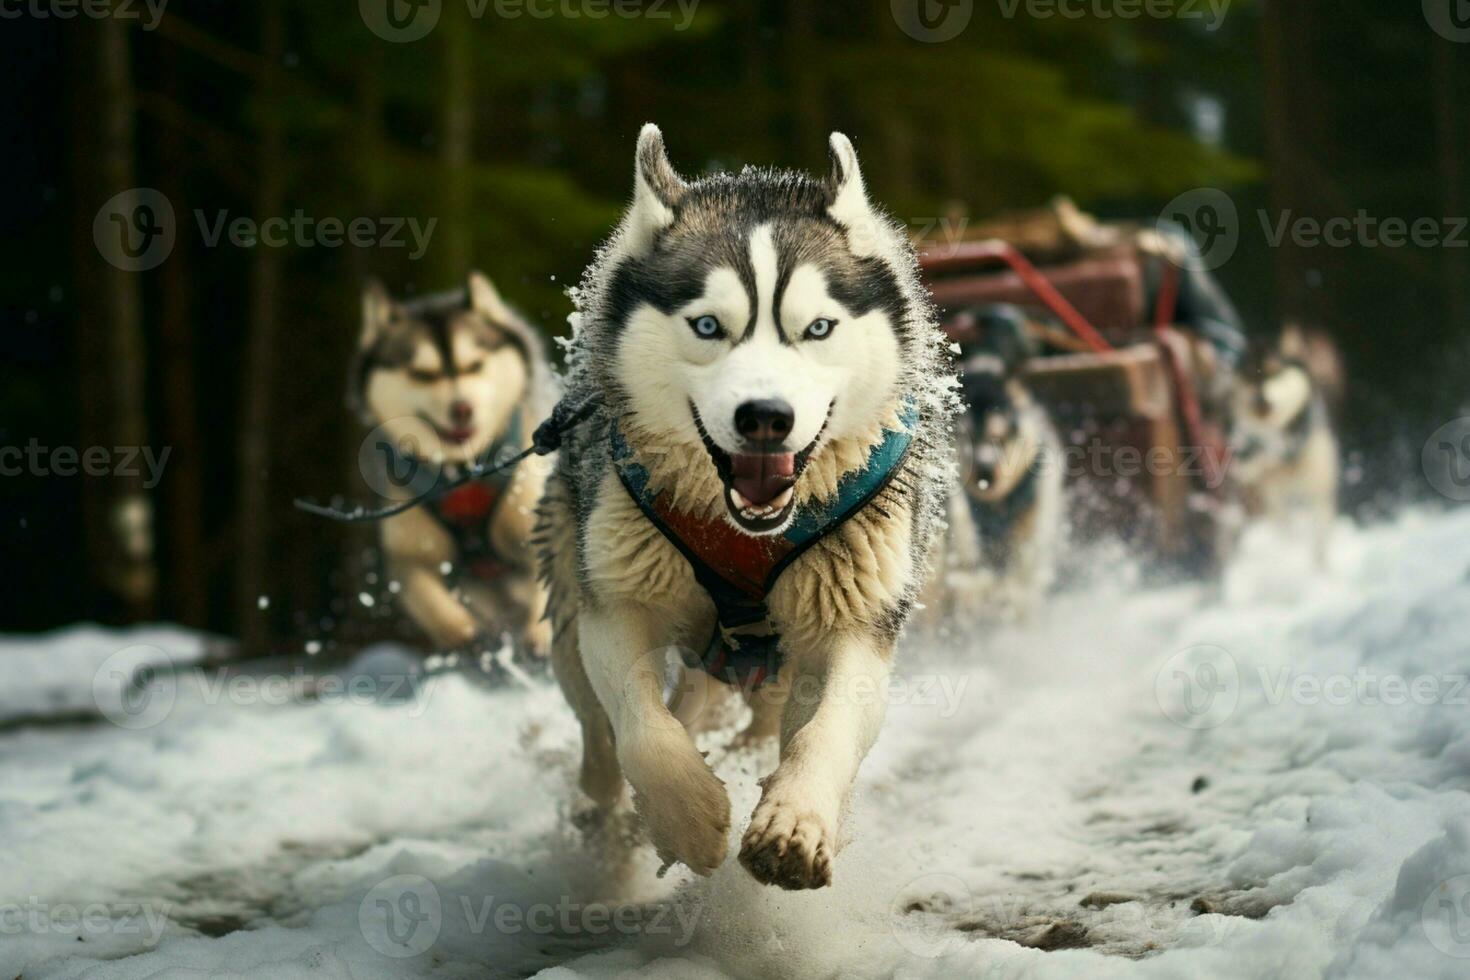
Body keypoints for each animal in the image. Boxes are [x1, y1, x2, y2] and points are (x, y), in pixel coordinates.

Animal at [352, 271, 552, 664]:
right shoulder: (408, 550)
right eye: (422, 374)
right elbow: (422, 589)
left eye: (474, 365)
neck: (463, 474)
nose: (462, 409)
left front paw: (541, 631)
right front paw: (457, 630)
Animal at [535, 126, 958, 893]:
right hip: (571, 592)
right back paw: (609, 828)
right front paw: (686, 816)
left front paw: (795, 822)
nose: (766, 417)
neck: (748, 535)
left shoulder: (857, 615)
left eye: (818, 328)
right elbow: (641, 725)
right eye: (707, 325)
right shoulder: (618, 602)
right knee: (600, 737)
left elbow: (827, 729)